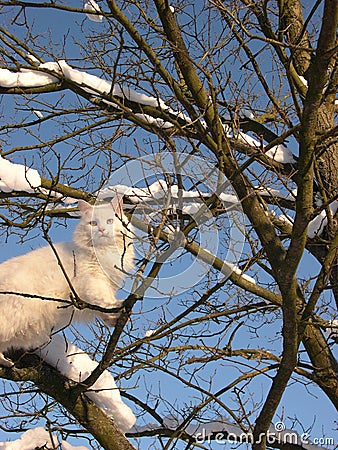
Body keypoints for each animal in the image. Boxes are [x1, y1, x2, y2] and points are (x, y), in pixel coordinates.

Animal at [0, 196, 134, 366]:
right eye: (93, 223)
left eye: (110, 221)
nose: (102, 230)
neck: (105, 252)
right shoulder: (93, 281)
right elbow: (104, 300)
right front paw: (119, 306)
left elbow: (100, 310)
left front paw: (113, 320)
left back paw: (5, 362)